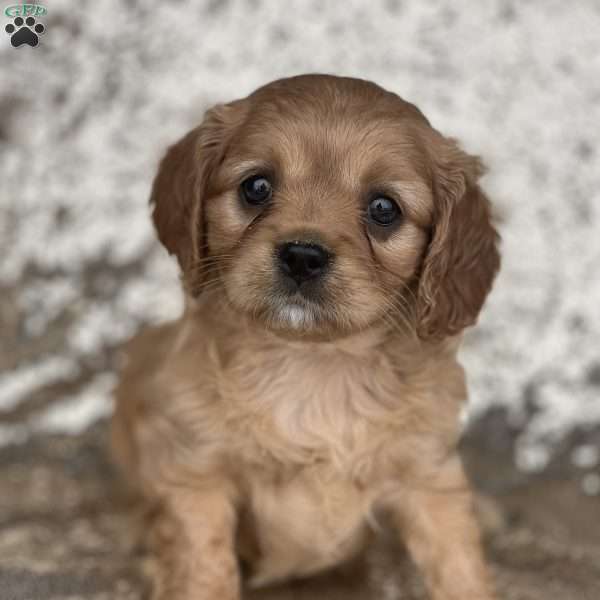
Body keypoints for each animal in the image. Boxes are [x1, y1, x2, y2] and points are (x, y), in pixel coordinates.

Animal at [110, 75, 500, 600]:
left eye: (384, 208)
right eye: (256, 187)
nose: (302, 256)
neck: (312, 365)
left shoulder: (428, 476)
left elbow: (459, 564)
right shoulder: (195, 476)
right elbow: (203, 568)